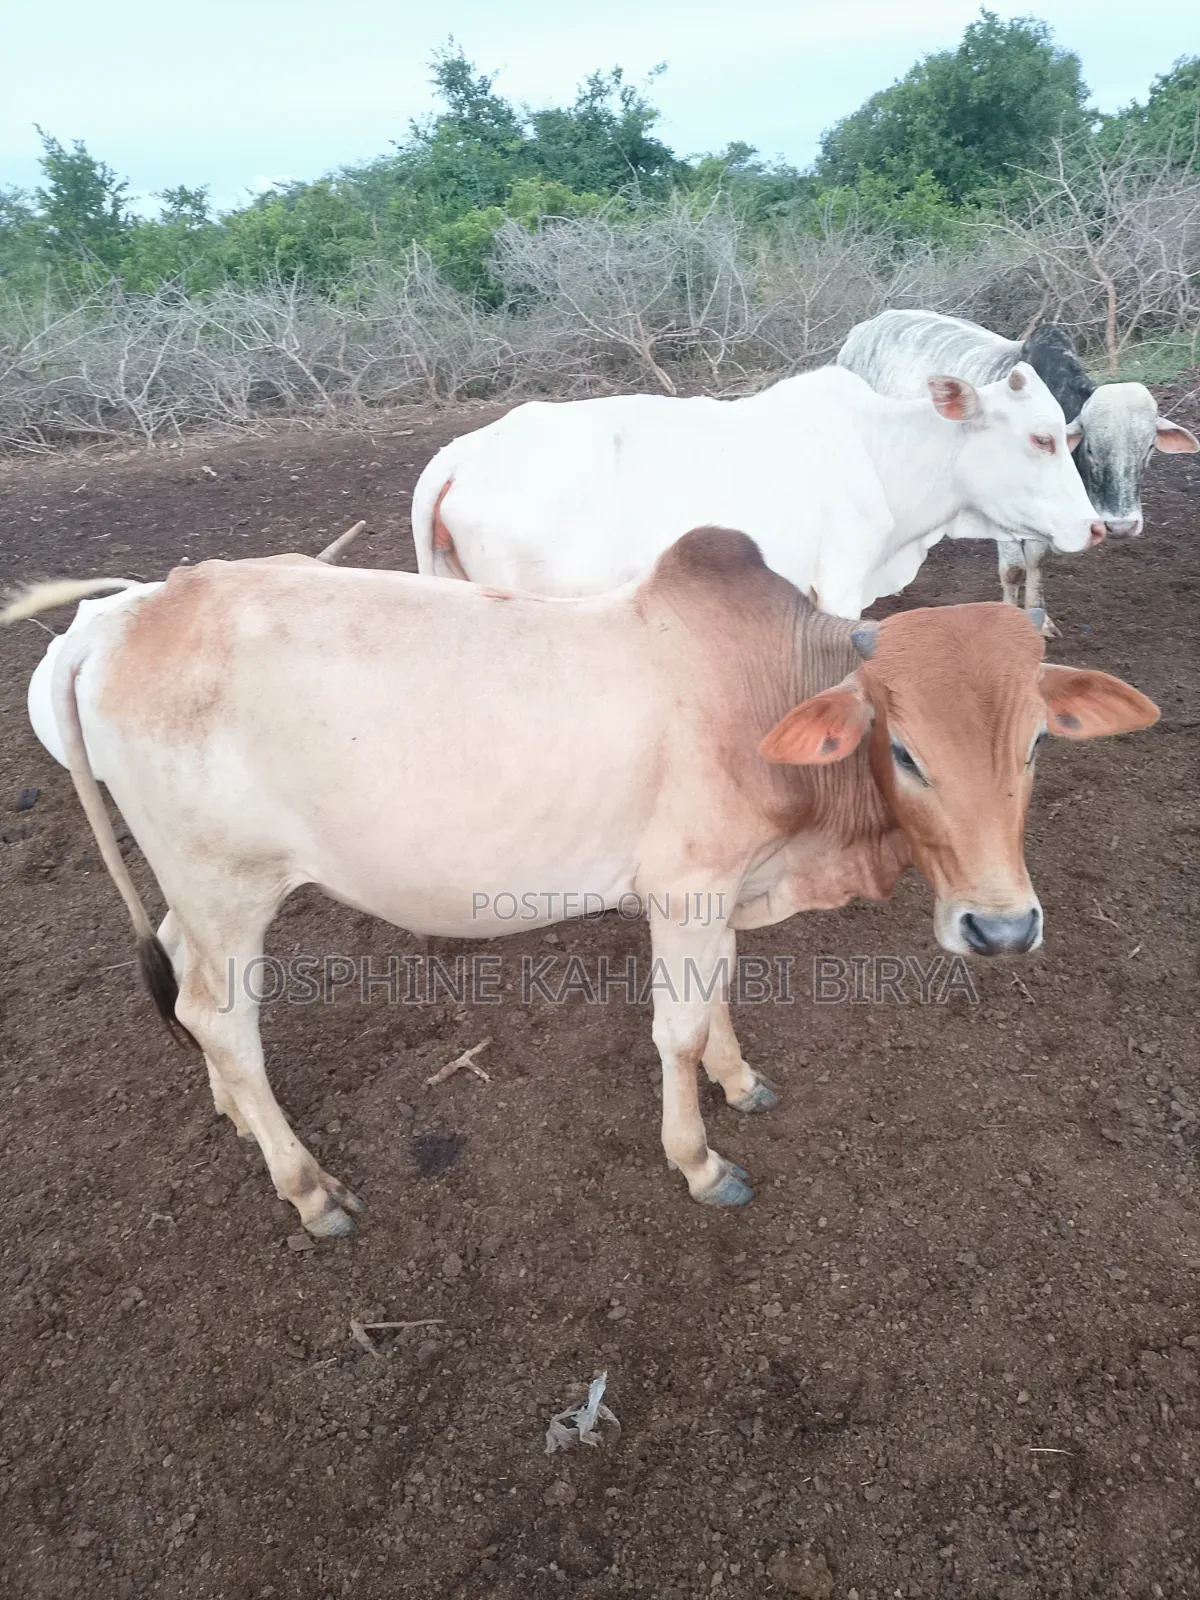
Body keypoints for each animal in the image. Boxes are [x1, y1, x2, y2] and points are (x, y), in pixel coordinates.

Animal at [1, 530, 1158, 1234]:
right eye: (906, 749)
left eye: (1037, 743)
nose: (1002, 929)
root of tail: (120, 616)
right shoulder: (687, 888)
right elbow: (675, 1030)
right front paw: (700, 1160)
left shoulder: (722, 889)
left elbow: (719, 996)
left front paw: (741, 1080)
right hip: (230, 884)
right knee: (222, 1015)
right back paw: (308, 1185)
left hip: (198, 890)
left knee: (189, 991)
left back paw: (235, 1116)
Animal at [837, 310, 1199, 636]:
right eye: (1091, 448)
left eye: (1149, 447)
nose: (1122, 525)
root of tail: (861, 330)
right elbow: (1013, 570)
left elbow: (1037, 561)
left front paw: (1042, 620)